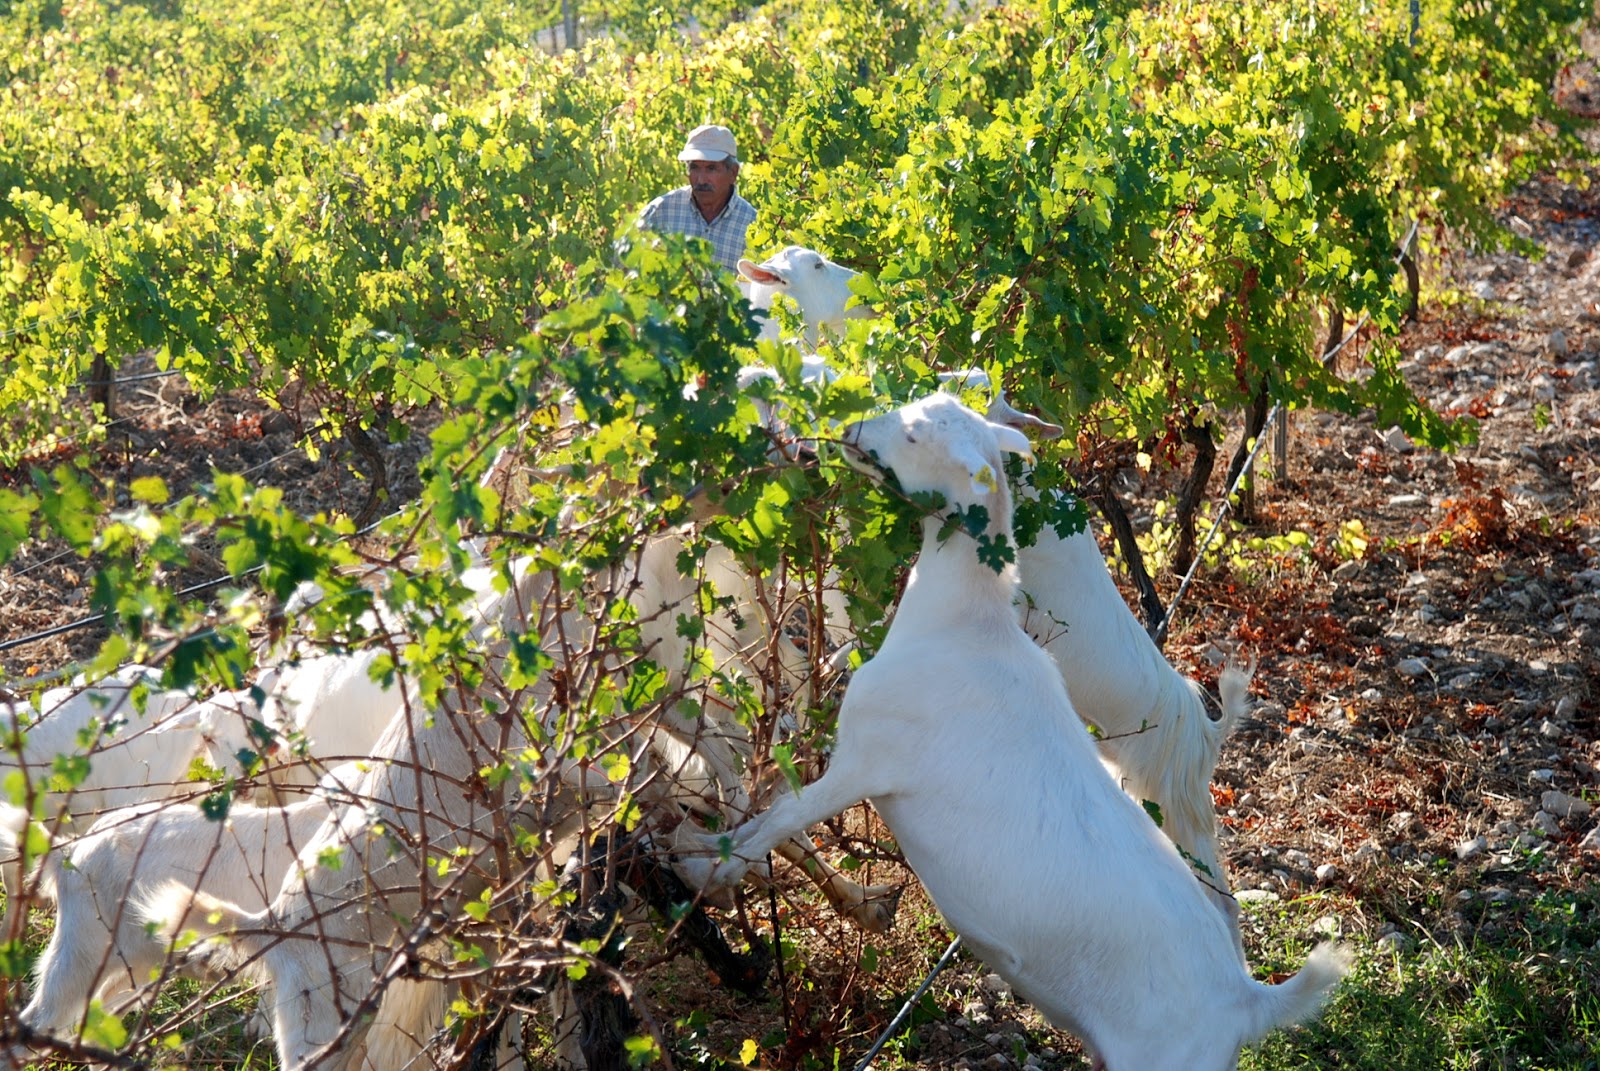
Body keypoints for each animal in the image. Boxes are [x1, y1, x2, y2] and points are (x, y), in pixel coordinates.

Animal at [674, 393, 1348, 1070]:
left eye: (915, 436)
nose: (846, 430)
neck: (966, 626)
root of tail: (1247, 1003)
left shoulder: (868, 762)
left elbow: (772, 824)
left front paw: (701, 872)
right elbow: (761, 824)